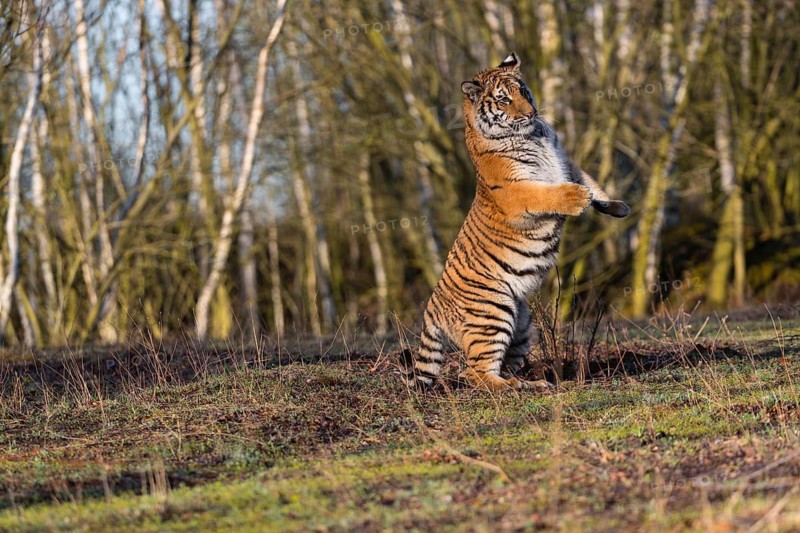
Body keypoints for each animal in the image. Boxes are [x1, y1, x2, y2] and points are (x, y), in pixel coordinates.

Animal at [403, 52, 629, 391]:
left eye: (522, 90)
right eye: (503, 99)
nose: (532, 113)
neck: (534, 135)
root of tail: (431, 307)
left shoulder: (565, 162)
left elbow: (592, 181)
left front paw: (616, 206)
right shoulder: (517, 190)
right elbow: (548, 193)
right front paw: (577, 197)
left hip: (523, 323)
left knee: (502, 364)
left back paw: (530, 382)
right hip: (492, 314)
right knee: (474, 373)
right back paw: (517, 386)